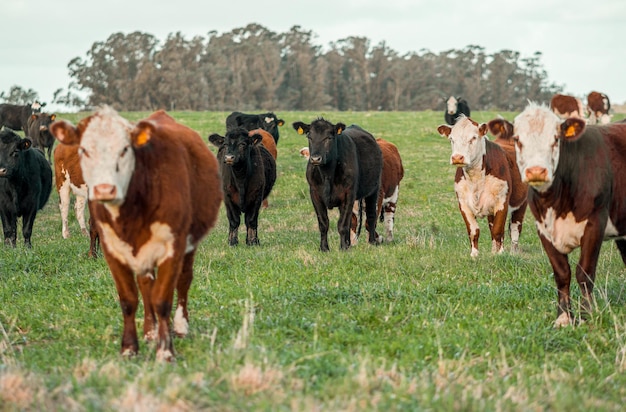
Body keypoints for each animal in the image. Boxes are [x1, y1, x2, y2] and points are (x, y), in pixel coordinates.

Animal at [50, 106, 223, 360]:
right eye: (84, 149)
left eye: (124, 149)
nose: (104, 188)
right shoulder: (113, 249)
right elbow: (129, 298)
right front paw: (130, 347)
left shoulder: (173, 246)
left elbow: (163, 298)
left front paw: (165, 350)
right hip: (63, 183)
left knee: (183, 280)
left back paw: (180, 326)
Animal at [292, 116, 380, 251]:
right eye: (309, 137)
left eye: (329, 137)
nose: (315, 159)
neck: (327, 175)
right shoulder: (315, 194)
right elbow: (324, 223)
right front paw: (324, 248)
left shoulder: (349, 194)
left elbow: (342, 224)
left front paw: (343, 248)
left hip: (373, 189)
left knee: (371, 215)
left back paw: (372, 242)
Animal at [438, 114, 528, 258]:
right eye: (452, 139)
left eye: (473, 138)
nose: (457, 157)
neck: (475, 179)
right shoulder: (463, 203)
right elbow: (474, 230)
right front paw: (475, 254)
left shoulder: (502, 201)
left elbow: (498, 230)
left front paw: (500, 254)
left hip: (521, 203)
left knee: (514, 228)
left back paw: (513, 252)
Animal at [510, 103, 624, 328]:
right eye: (517, 139)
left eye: (556, 139)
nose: (536, 171)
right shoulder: (543, 229)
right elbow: (562, 273)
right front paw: (563, 317)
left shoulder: (595, 223)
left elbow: (584, 273)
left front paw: (587, 315)